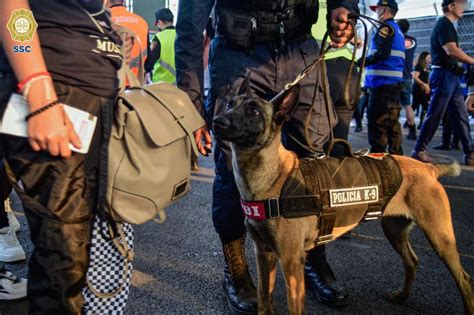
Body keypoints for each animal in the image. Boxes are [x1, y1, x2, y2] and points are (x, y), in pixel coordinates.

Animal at [213, 80, 472, 314]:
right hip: (395, 231)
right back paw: (402, 295)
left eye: (254, 110)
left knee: (465, 278)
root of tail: (428, 168)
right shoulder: (264, 255)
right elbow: (264, 302)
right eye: (229, 104)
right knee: (412, 261)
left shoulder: (290, 262)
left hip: (440, 238)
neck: (273, 175)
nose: (217, 121)